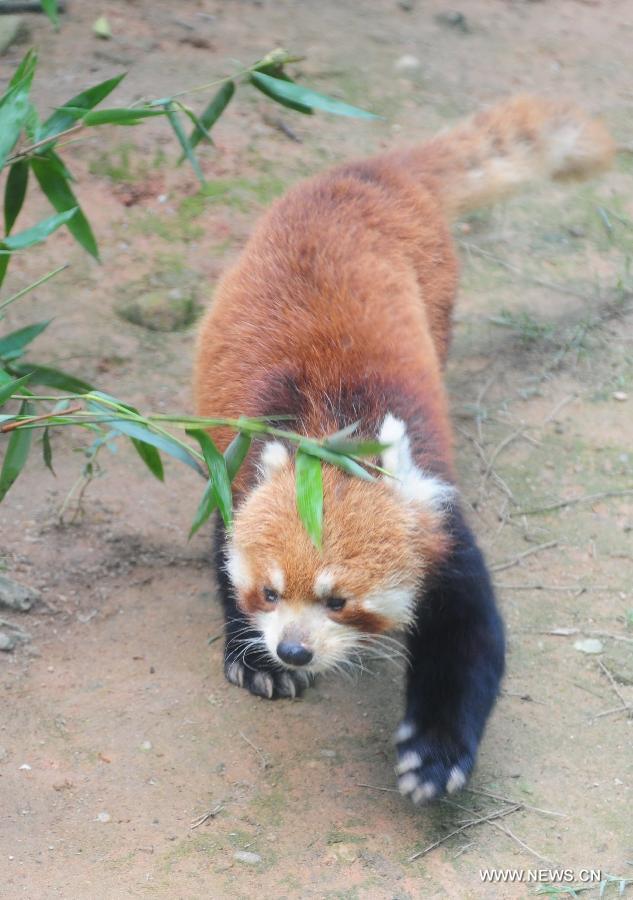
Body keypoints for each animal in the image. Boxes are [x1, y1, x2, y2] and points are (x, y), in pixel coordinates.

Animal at [193, 96, 612, 800]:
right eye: (270, 593)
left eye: (338, 602)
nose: (293, 650)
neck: (332, 437)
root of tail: (368, 173)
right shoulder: (236, 476)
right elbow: (221, 553)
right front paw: (252, 656)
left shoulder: (436, 518)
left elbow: (467, 638)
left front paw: (435, 755)